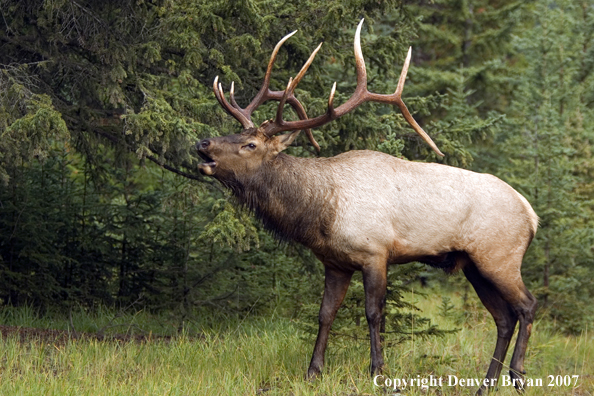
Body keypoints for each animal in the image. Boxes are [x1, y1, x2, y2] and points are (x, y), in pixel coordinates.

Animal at [195, 20, 536, 394]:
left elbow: (374, 313)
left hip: (500, 256)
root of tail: (531, 214)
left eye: (250, 144)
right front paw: (313, 372)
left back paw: (518, 375)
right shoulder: (335, 263)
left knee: (527, 307)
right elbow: (325, 313)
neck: (319, 213)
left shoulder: (376, 253)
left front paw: (379, 373)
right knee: (503, 318)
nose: (203, 143)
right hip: (474, 264)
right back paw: (485, 385)